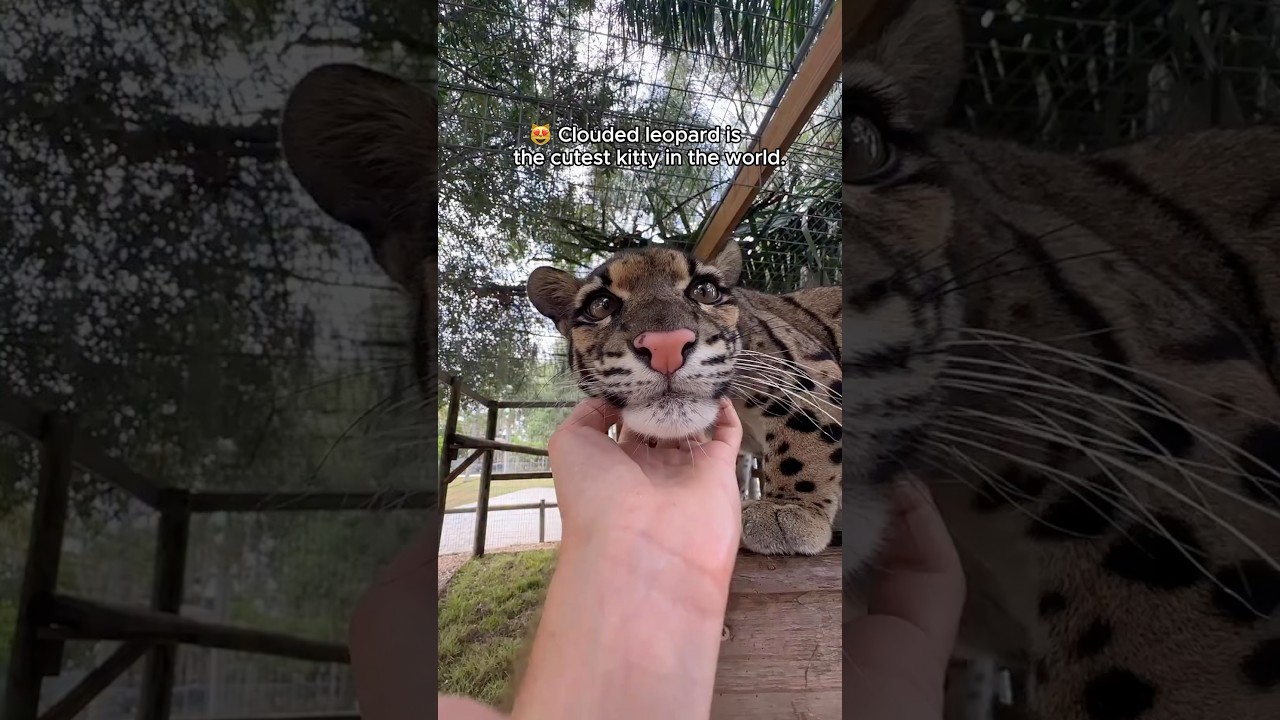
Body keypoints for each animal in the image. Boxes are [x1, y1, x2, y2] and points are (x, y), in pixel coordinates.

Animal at [526, 240, 844, 557]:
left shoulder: (806, 370)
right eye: (601, 305)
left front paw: (787, 506)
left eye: (705, 291)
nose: (666, 346)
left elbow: (805, 434)